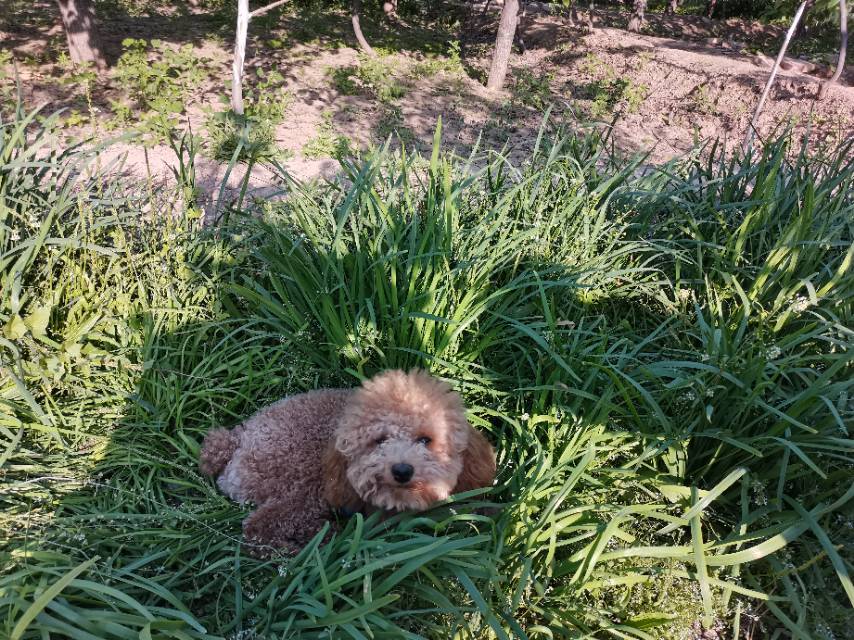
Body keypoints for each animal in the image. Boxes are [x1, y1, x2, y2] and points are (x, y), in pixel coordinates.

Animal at [200, 368, 498, 552]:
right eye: (379, 440)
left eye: (426, 440)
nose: (402, 470)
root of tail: (238, 438)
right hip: (302, 482)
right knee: (259, 527)